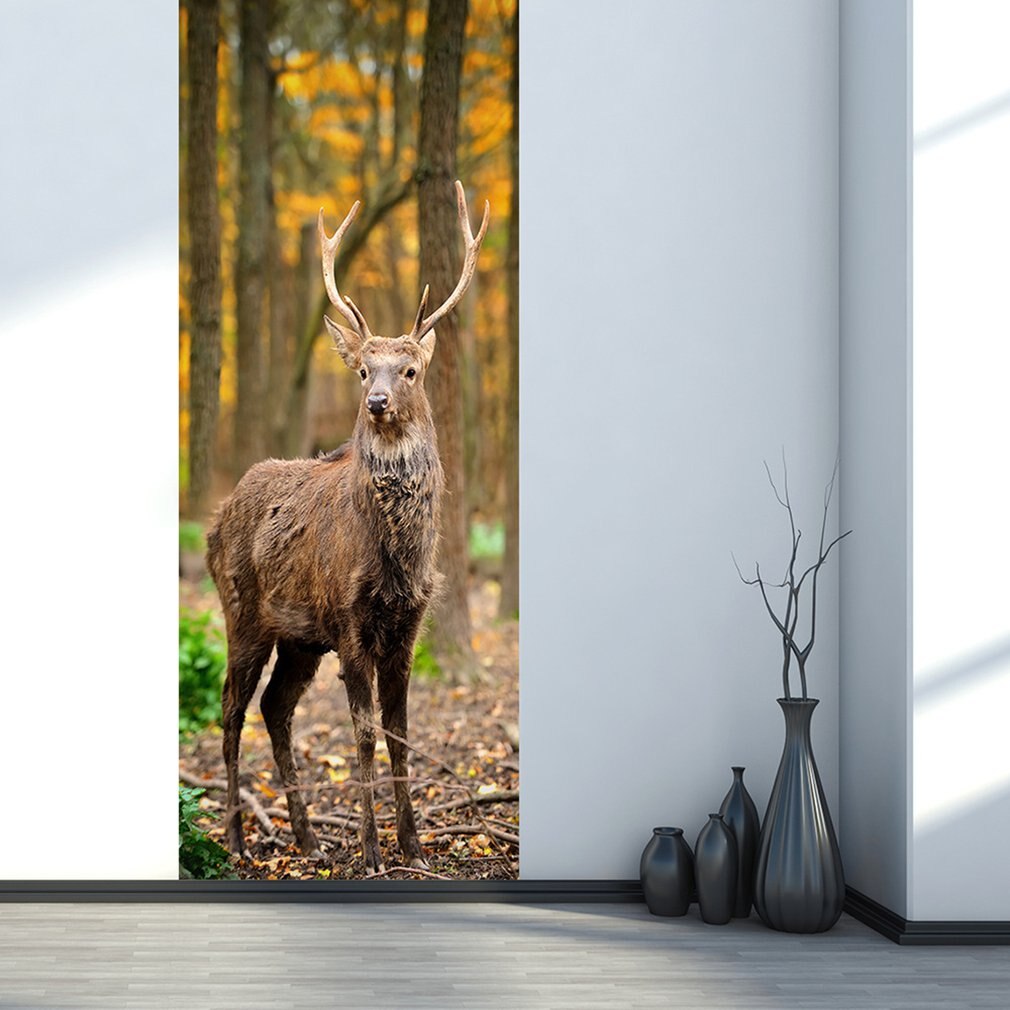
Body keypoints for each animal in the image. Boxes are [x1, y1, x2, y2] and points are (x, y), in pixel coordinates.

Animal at [206, 180, 489, 874]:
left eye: (409, 370)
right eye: (363, 369)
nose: (377, 402)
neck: (395, 559)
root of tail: (213, 523)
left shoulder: (408, 625)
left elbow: (402, 735)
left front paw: (413, 845)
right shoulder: (350, 622)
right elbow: (363, 736)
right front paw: (370, 851)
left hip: (299, 637)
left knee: (275, 707)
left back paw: (308, 838)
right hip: (242, 611)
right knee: (231, 709)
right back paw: (236, 838)